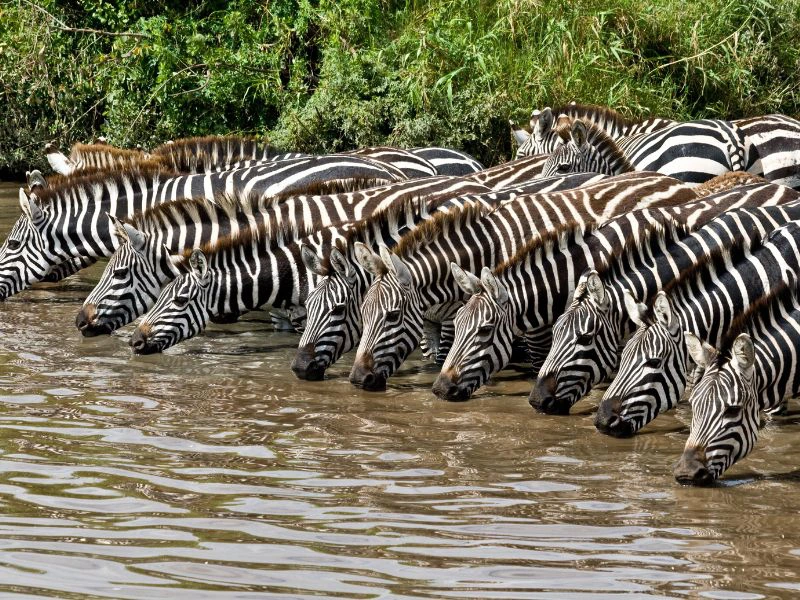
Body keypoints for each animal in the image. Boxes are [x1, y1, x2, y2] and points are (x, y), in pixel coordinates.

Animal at [348, 172, 699, 391]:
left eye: (392, 315)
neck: (488, 249)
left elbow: (537, 362)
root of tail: (678, 183)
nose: (357, 380)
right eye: (362, 313)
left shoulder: (537, 322)